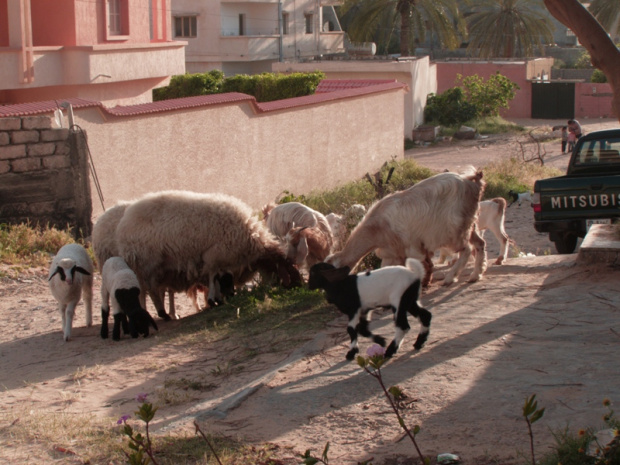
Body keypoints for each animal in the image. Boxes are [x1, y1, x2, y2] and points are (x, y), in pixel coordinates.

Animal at [115, 190, 302, 318]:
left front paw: (221, 297)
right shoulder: (215, 255)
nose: (298, 287)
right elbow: (213, 278)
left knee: (145, 291)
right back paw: (162, 313)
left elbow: (221, 278)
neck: (253, 238)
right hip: (146, 264)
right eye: (290, 272)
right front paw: (215, 299)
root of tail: (123, 224)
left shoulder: (222, 261)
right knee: (149, 291)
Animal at [326, 170, 486, 286]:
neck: (377, 228)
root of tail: (471, 181)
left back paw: (450, 278)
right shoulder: (393, 253)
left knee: (467, 249)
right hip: (470, 224)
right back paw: (476, 275)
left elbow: (422, 265)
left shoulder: (412, 247)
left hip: (453, 230)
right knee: (480, 243)